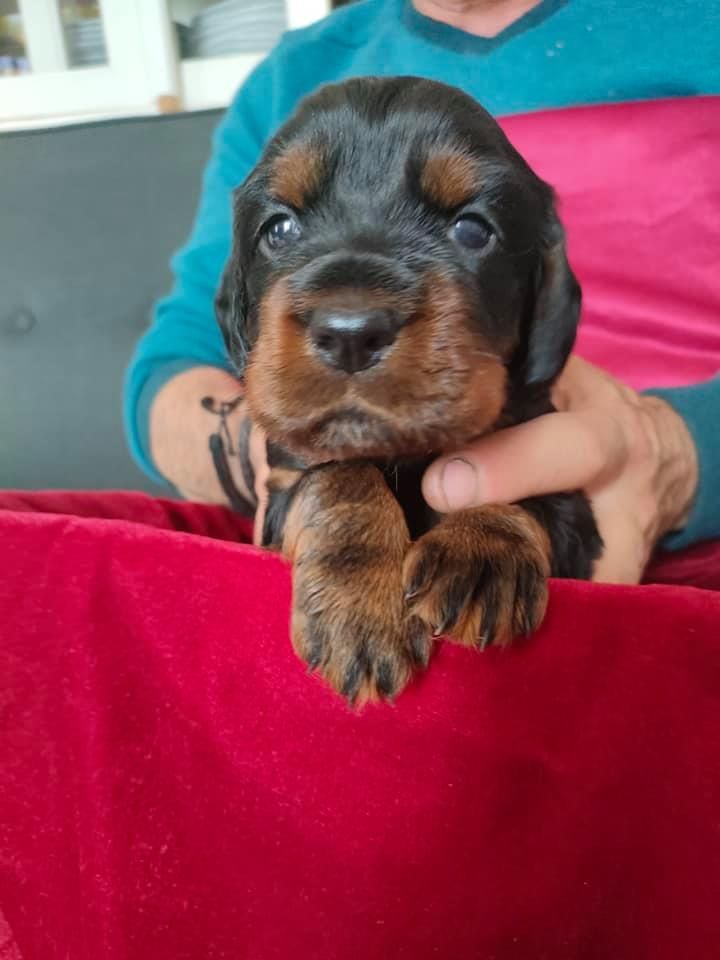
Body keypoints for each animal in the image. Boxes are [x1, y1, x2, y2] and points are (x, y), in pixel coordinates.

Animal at [215, 76, 602, 704]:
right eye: (280, 228)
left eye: (472, 229)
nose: (350, 333)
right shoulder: (282, 484)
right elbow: (338, 476)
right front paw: (360, 610)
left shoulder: (570, 501)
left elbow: (507, 470)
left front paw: (481, 548)